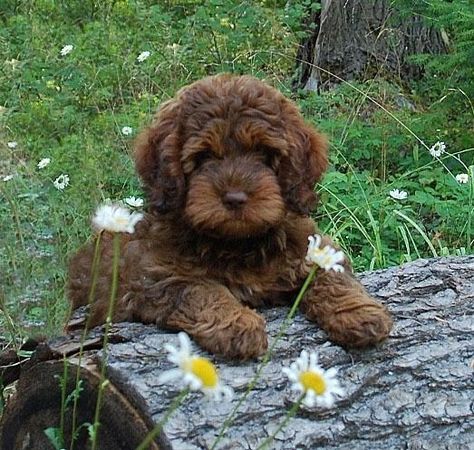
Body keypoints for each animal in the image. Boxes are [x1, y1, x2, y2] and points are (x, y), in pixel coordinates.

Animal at [67, 75, 392, 360]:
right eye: (204, 156)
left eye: (263, 152)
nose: (235, 198)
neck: (238, 243)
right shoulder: (153, 280)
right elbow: (201, 290)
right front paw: (237, 325)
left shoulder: (311, 245)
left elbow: (330, 275)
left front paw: (360, 314)